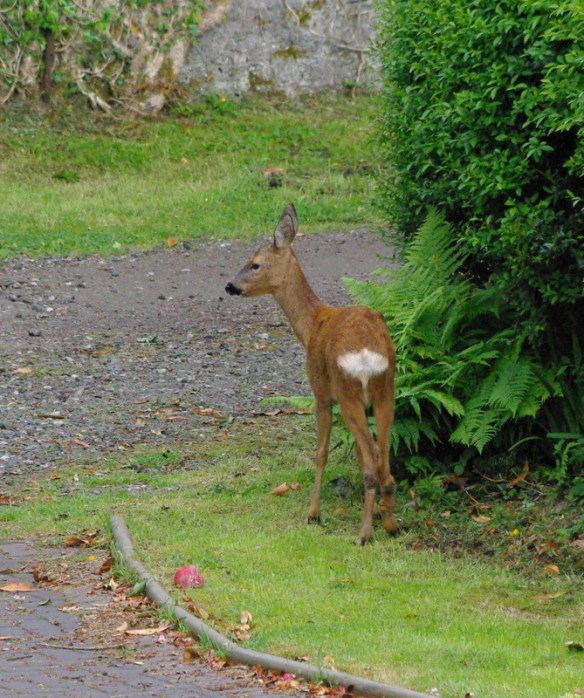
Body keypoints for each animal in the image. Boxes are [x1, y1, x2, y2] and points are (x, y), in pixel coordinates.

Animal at [225, 204, 397, 544]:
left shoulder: (320, 393)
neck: (312, 324)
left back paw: (365, 533)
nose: (230, 286)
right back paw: (390, 525)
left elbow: (321, 453)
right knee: (382, 459)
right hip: (387, 391)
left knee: (372, 459)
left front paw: (313, 513)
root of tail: (367, 354)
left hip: (348, 392)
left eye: (255, 264)